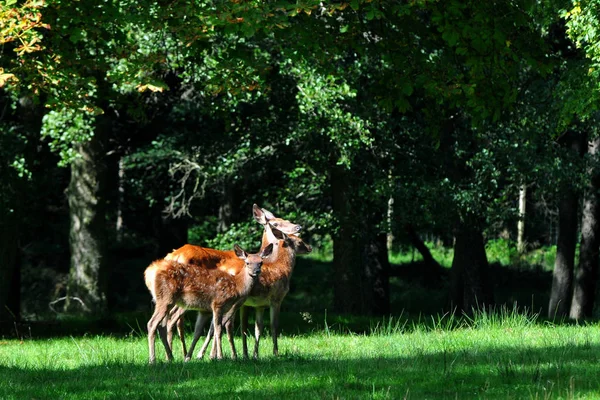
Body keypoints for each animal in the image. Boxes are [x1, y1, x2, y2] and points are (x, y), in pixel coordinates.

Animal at [159, 205, 302, 358]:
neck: (271, 262)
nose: (298, 227)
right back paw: (174, 354)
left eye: (285, 219)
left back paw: (180, 353)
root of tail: (174, 256)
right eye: (275, 224)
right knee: (174, 318)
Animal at [190, 227, 314, 360]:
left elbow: (257, 328)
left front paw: (254, 354)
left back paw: (202, 355)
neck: (283, 269)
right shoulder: (276, 299)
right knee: (225, 323)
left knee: (215, 324)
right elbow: (273, 325)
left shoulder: (259, 305)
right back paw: (220, 355)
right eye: (300, 241)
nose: (310, 248)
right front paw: (275, 353)